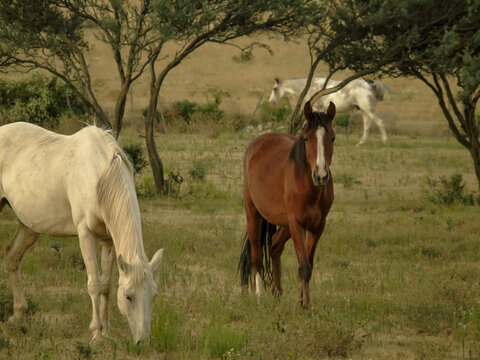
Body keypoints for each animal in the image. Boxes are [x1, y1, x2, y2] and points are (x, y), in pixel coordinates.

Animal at [0, 121, 163, 344]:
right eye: (128, 296)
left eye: (154, 296)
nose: (144, 341)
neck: (100, 176)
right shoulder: (85, 233)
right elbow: (94, 284)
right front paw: (96, 335)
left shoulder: (109, 241)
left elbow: (106, 285)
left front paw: (107, 333)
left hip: (29, 226)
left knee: (12, 257)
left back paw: (18, 317)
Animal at [238, 100, 336, 306]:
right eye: (306, 139)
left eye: (332, 138)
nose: (321, 176)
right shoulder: (297, 224)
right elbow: (304, 266)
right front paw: (305, 305)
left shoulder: (317, 226)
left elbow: (308, 264)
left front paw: (302, 301)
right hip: (253, 214)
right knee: (257, 256)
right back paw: (260, 298)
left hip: (284, 223)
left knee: (275, 246)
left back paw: (278, 292)